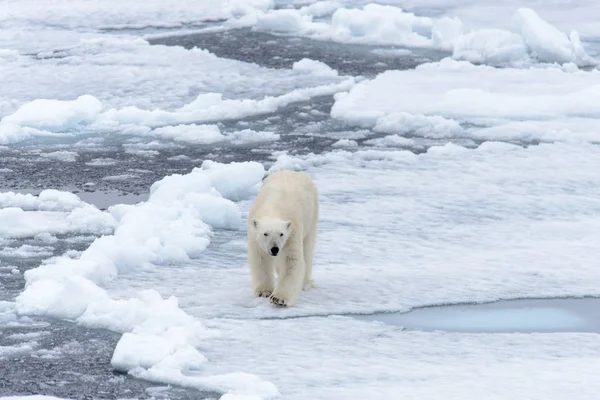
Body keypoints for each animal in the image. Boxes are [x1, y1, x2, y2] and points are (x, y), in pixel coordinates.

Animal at [246, 169, 318, 306]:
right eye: (265, 233)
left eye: (281, 234)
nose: (274, 249)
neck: (275, 208)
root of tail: (293, 171)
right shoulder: (254, 235)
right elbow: (260, 258)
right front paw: (264, 291)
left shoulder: (292, 233)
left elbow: (291, 260)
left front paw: (278, 298)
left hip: (312, 216)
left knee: (307, 248)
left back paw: (305, 283)